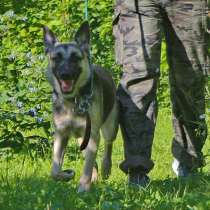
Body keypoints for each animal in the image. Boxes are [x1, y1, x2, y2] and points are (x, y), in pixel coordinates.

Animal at [43, 21, 118, 192]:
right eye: (56, 58)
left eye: (75, 58)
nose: (65, 74)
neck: (73, 101)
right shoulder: (61, 134)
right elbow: (54, 170)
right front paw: (66, 175)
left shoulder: (93, 135)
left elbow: (87, 167)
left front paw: (83, 188)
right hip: (81, 139)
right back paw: (94, 178)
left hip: (109, 128)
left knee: (108, 146)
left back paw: (105, 168)